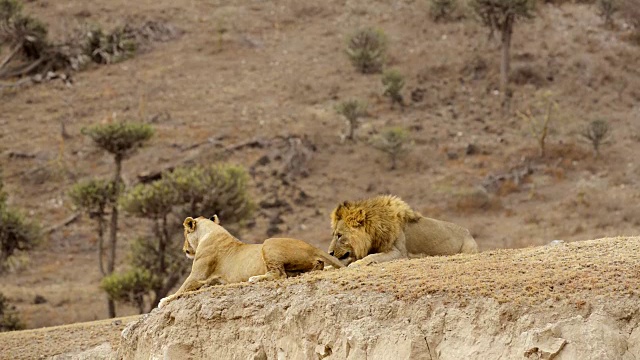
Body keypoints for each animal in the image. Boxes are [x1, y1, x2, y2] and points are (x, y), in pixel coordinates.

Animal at [157, 215, 342, 308]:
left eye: (185, 233)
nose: (184, 249)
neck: (211, 232)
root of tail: (313, 247)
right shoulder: (209, 280)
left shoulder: (197, 275)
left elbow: (180, 289)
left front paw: (164, 300)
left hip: (268, 243)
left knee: (279, 274)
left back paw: (254, 278)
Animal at [330, 194, 476, 268]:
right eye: (335, 235)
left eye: (339, 235)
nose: (330, 253)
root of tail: (468, 232)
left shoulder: (400, 253)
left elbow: (372, 257)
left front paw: (357, 263)